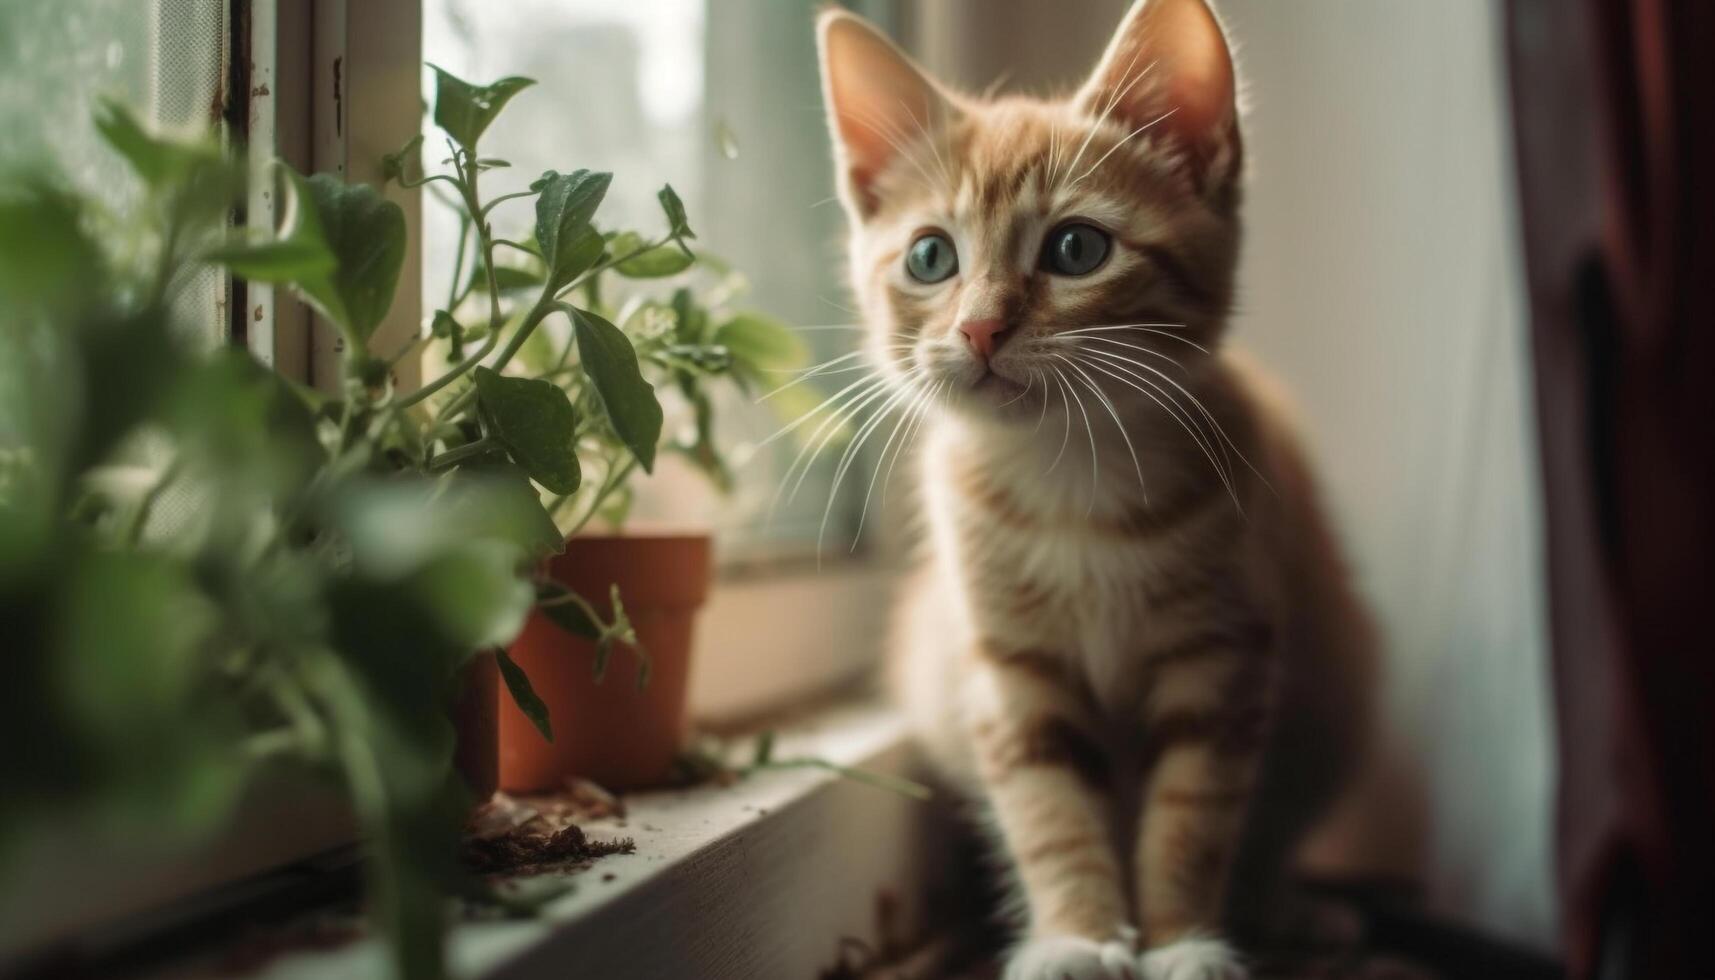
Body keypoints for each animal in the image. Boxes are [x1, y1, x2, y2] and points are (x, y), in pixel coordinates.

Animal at [819, 1, 1378, 980]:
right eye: (929, 258)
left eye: (1076, 248)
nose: (980, 328)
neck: (1068, 480)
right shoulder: (1010, 672)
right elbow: (1047, 810)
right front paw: (1075, 935)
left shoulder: (1223, 658)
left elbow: (1192, 816)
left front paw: (1181, 939)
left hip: (1335, 683)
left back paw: (1288, 903)